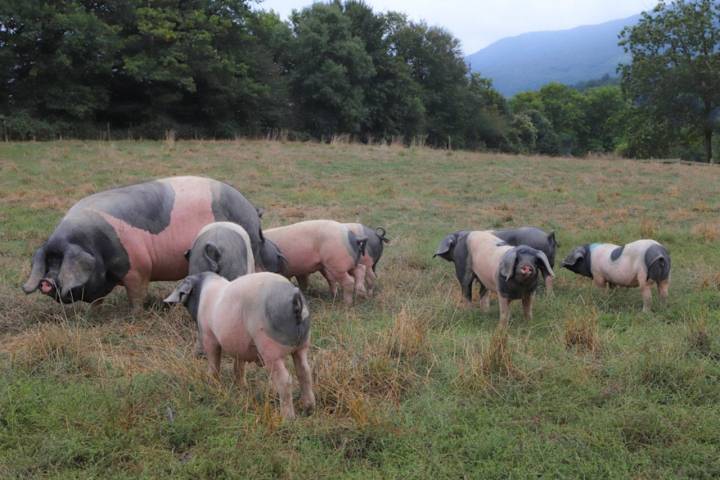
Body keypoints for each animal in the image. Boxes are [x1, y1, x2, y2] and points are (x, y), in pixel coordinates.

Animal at [24, 176, 268, 308]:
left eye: (61, 260)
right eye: (50, 260)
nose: (45, 281)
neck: (94, 244)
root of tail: (251, 209)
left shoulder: (139, 267)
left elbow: (137, 295)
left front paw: (135, 315)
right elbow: (97, 301)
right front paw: (92, 314)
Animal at [165, 274, 314, 420]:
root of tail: (295, 298)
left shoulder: (209, 336)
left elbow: (214, 363)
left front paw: (211, 384)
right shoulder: (239, 346)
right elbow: (239, 367)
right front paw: (242, 387)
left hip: (270, 349)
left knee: (285, 379)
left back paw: (287, 418)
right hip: (302, 346)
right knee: (304, 371)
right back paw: (309, 408)